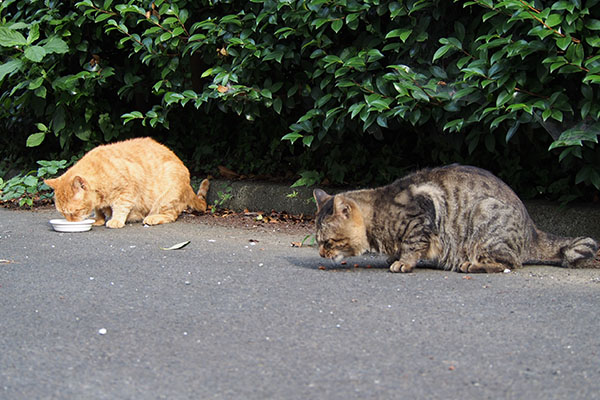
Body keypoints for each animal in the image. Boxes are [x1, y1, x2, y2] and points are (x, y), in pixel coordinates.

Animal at [44, 137, 209, 228]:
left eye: (74, 212)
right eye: (63, 213)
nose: (70, 222)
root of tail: (188, 186)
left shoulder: (126, 191)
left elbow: (120, 207)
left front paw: (115, 220)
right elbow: (98, 209)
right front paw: (98, 219)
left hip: (165, 198)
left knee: (171, 215)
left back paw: (152, 218)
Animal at [312, 164, 596, 274]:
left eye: (328, 242)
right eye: (318, 241)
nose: (321, 254)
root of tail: (532, 230)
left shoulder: (420, 218)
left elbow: (412, 246)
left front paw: (403, 261)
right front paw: (394, 256)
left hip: (484, 216)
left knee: (510, 263)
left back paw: (472, 265)